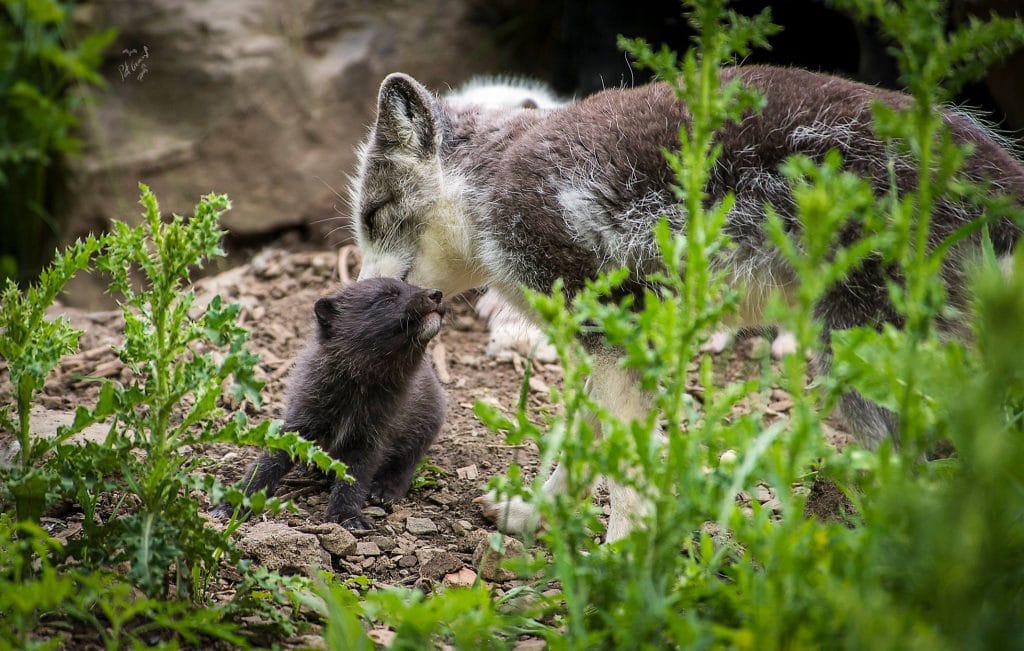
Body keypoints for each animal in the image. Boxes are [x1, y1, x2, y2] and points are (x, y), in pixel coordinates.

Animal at [352, 66, 1024, 540]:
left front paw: (618, 564)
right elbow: (585, 441)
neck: (488, 183)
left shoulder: (614, 331)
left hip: (863, 362)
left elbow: (624, 468)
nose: (352, 295)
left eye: (375, 214)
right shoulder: (612, 343)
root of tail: (997, 180)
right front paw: (533, 514)